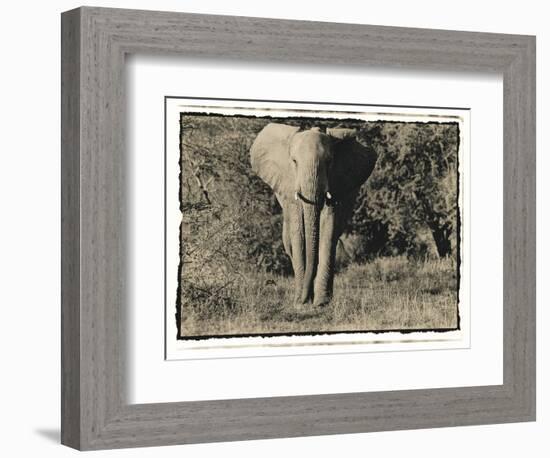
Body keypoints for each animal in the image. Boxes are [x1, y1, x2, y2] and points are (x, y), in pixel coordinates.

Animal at [251, 123, 378, 306]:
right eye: (294, 162)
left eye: (329, 161)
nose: (305, 299)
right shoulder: (289, 185)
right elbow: (298, 231)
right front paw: (301, 301)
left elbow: (328, 225)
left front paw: (320, 303)